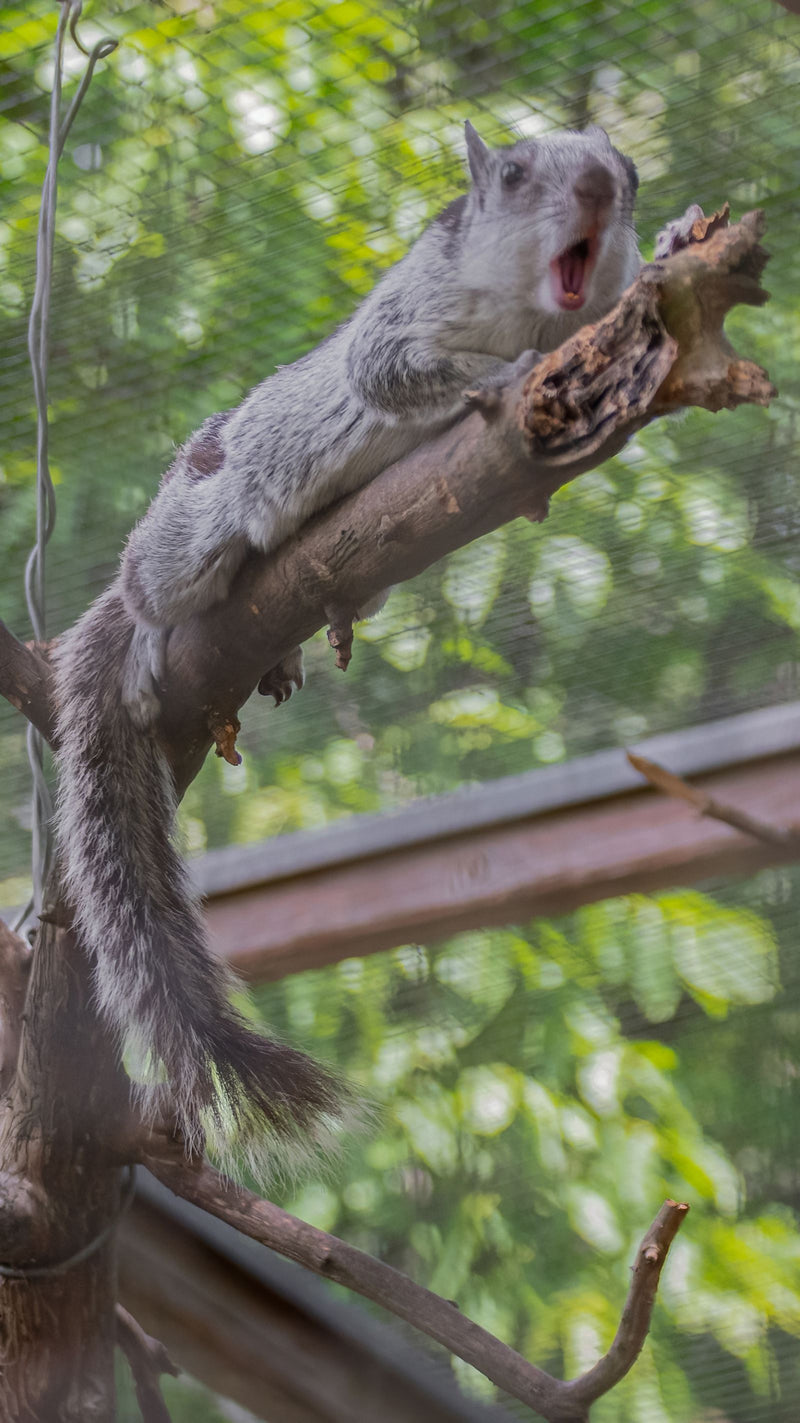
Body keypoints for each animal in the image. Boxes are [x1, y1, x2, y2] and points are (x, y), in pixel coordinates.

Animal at [53, 121, 646, 1178]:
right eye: (511, 174)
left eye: (628, 176)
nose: (592, 189)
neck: (531, 318)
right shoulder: (393, 329)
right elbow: (398, 372)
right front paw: (491, 382)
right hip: (191, 536)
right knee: (146, 582)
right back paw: (150, 629)